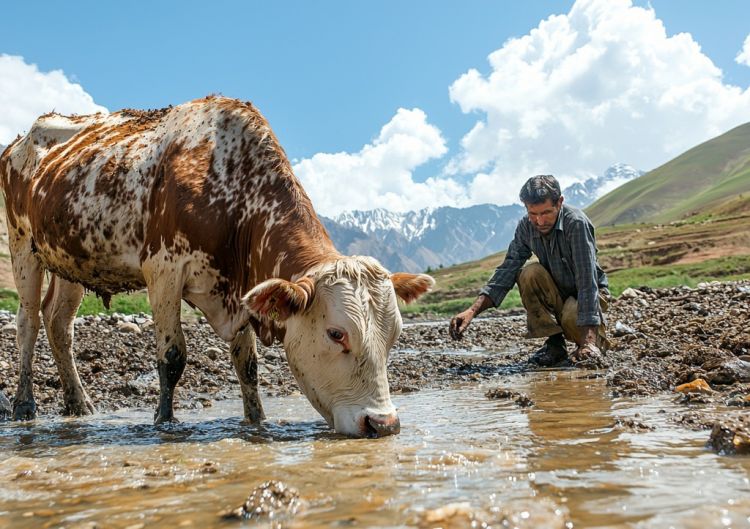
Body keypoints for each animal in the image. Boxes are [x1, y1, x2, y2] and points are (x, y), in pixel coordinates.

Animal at [0, 96, 434, 438]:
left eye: (395, 334)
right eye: (336, 333)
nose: (383, 424)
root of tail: (21, 140)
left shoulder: (239, 293)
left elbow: (247, 366)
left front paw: (256, 420)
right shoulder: (163, 270)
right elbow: (172, 358)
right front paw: (164, 422)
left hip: (68, 260)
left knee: (58, 323)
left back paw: (79, 403)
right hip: (23, 247)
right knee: (28, 323)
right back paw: (25, 406)